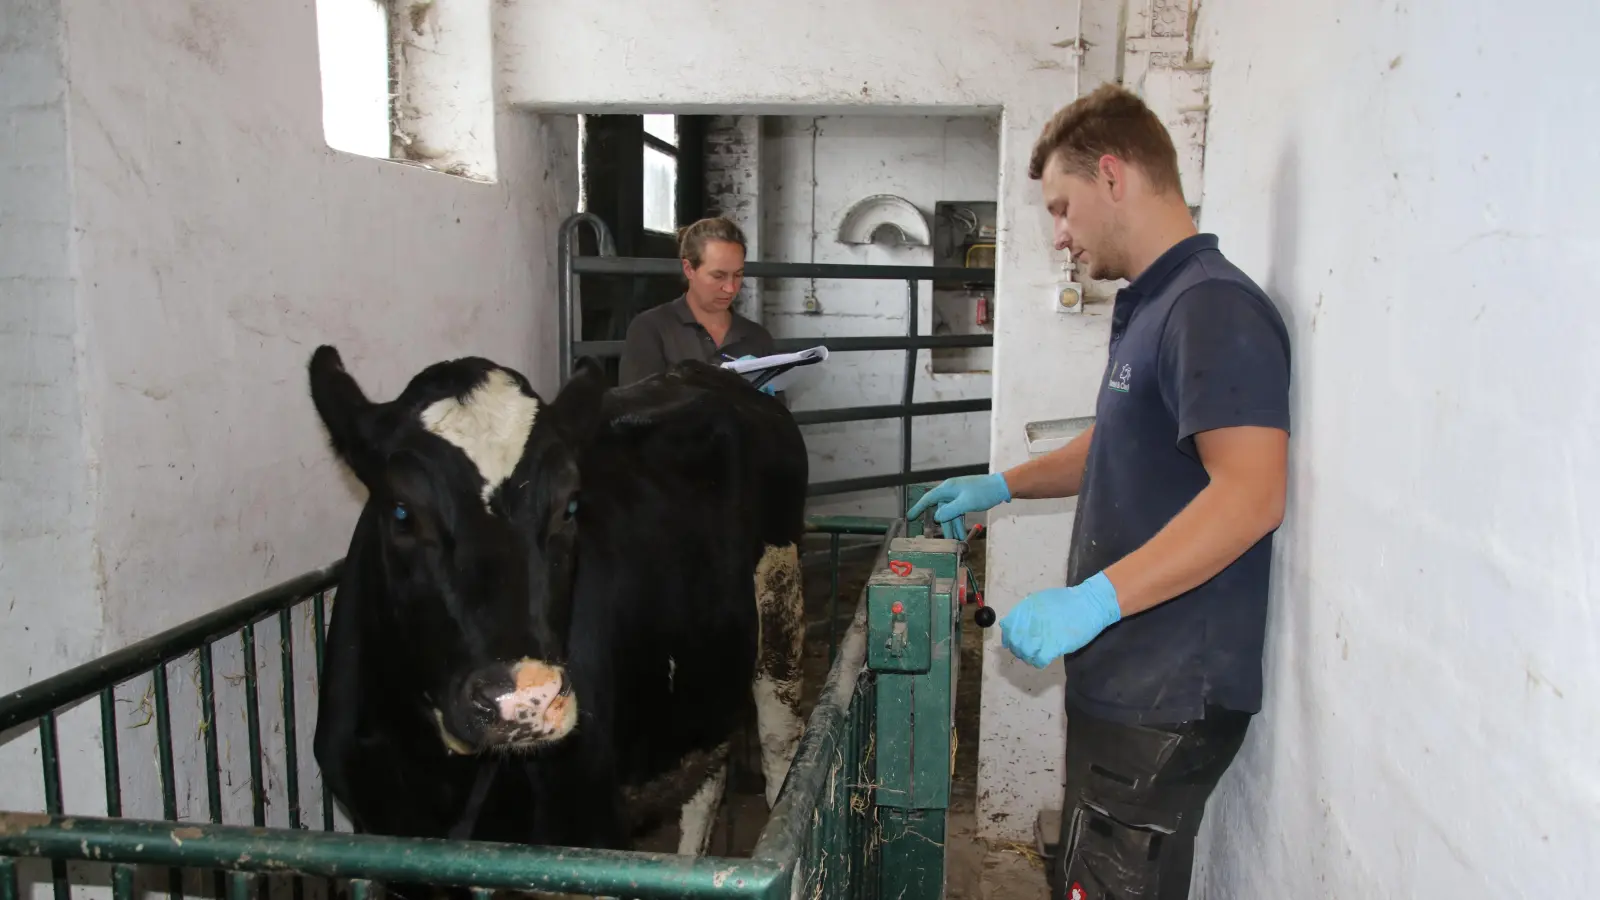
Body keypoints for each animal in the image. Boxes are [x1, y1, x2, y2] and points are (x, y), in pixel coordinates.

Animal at [308, 341, 812, 851]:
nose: (526, 700)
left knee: (780, 746)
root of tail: (715, 373)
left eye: (569, 506)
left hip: (781, 601)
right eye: (401, 512)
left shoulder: (590, 822)